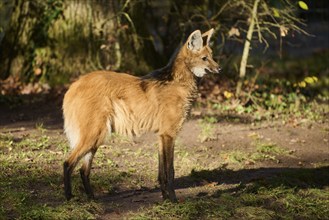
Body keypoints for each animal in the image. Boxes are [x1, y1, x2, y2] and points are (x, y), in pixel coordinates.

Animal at [62, 28, 220, 202]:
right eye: (204, 58)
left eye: (212, 56)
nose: (219, 68)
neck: (178, 83)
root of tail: (74, 85)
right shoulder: (169, 134)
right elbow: (170, 171)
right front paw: (173, 199)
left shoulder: (161, 135)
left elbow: (161, 173)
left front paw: (165, 198)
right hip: (95, 134)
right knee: (68, 163)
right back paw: (69, 197)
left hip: (97, 136)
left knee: (84, 170)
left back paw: (91, 197)